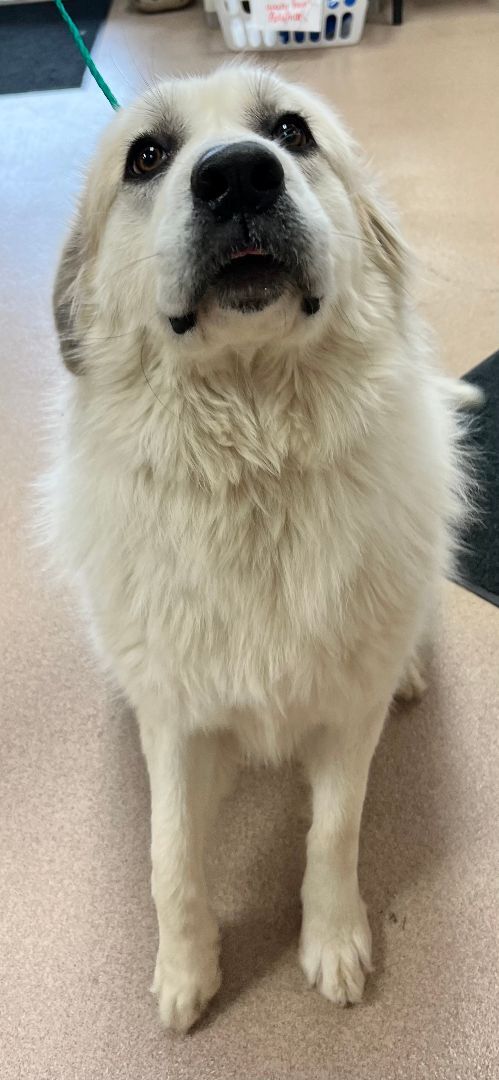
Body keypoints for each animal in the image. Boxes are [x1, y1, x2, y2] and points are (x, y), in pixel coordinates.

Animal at [44, 65, 468, 1028]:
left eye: (290, 132)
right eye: (147, 156)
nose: (238, 176)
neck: (257, 468)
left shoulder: (348, 715)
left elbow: (334, 833)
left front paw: (333, 941)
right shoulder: (175, 720)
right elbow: (169, 857)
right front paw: (186, 971)